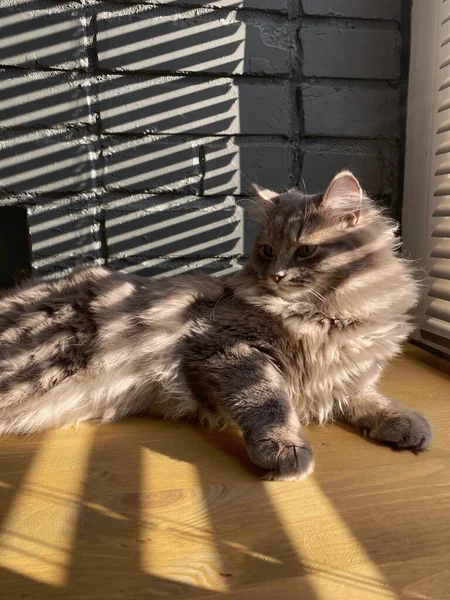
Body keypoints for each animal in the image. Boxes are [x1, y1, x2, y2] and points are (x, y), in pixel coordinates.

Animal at [0, 171, 430, 480]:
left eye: (306, 250)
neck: (329, 318)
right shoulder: (226, 350)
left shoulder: (341, 376)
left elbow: (366, 398)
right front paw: (285, 450)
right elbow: (269, 402)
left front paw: (406, 424)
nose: (276, 275)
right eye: (267, 251)